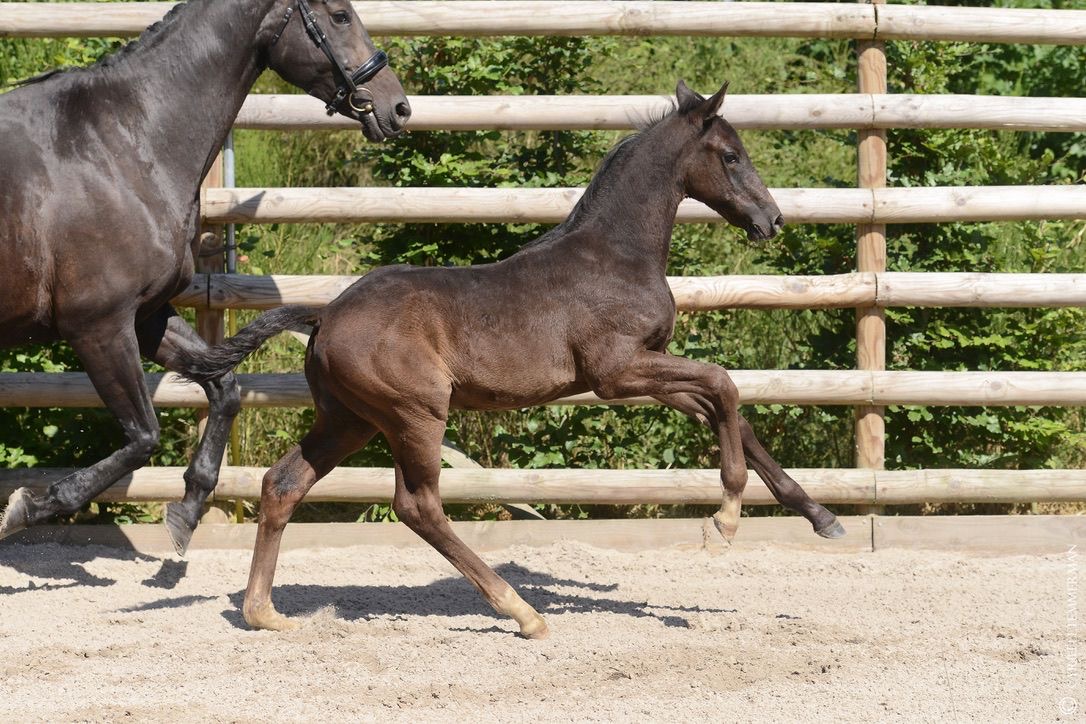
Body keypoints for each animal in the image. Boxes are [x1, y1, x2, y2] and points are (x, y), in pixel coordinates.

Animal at [0, 0, 411, 554]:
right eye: (341, 15)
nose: (398, 107)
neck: (121, 144)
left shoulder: (147, 317)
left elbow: (226, 390)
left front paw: (189, 509)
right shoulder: (98, 326)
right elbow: (143, 436)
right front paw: (26, 507)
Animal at [178, 80, 846, 639]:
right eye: (731, 155)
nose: (771, 219)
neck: (617, 253)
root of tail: (324, 317)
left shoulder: (644, 367)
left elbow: (728, 411)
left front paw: (820, 516)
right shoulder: (616, 371)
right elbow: (724, 385)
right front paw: (723, 522)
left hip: (349, 419)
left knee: (283, 484)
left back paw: (264, 612)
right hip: (415, 413)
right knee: (417, 506)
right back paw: (522, 612)